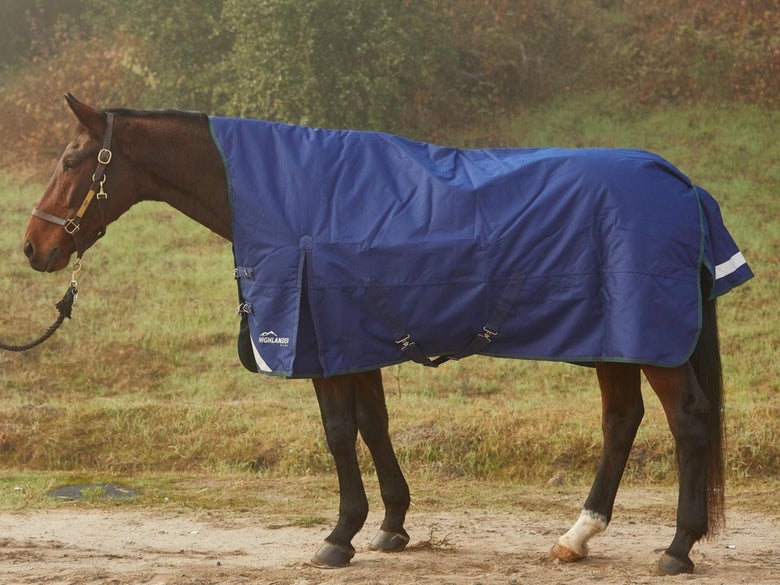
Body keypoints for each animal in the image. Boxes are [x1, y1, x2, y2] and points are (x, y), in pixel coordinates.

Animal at [22, 95, 752, 576]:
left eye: (72, 158)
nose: (34, 247)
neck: (289, 196)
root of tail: (680, 183)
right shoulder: (357, 338)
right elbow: (374, 425)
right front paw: (392, 525)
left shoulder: (323, 343)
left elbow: (339, 432)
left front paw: (340, 534)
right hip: (615, 339)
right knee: (621, 419)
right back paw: (578, 536)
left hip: (646, 337)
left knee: (687, 420)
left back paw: (678, 548)